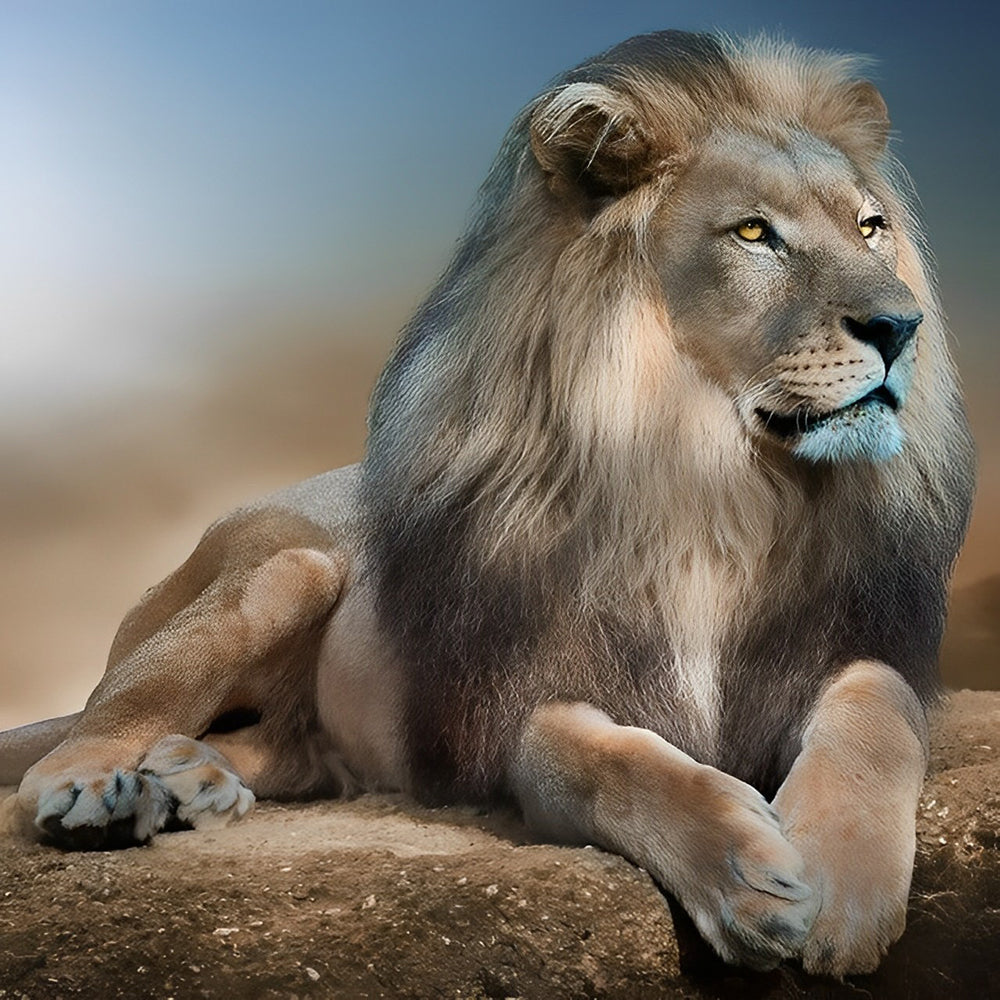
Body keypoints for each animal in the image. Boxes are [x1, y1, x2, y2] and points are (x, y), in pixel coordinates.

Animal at [0, 31, 974, 977]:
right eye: (753, 232)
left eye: (871, 227)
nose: (901, 327)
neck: (714, 486)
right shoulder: (517, 705)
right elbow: (597, 760)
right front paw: (746, 875)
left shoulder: (840, 642)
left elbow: (880, 707)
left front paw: (842, 886)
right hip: (285, 572)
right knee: (94, 724)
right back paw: (101, 790)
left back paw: (192, 780)